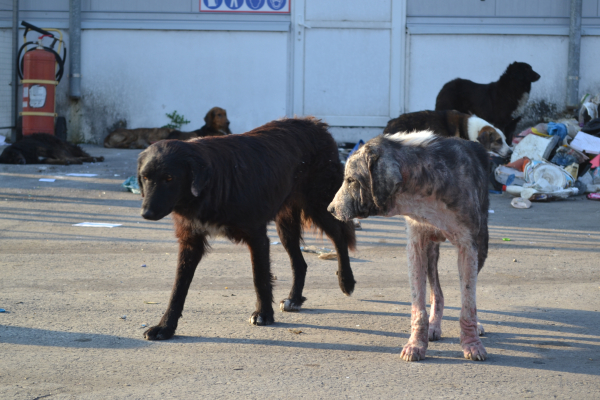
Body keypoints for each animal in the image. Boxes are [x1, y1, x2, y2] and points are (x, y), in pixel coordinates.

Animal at [136, 115, 356, 340]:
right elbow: (178, 288)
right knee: (300, 263)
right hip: (286, 226)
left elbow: (260, 278)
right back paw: (294, 299)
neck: (212, 185)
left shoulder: (257, 237)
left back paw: (346, 281)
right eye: (145, 177)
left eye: (169, 178)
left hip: (319, 205)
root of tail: (315, 122)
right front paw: (165, 326)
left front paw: (263, 314)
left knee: (340, 236)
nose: (146, 213)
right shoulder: (191, 242)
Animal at [328, 131, 492, 362]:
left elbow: (468, 302)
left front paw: (472, 344)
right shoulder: (416, 246)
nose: (330, 209)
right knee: (437, 293)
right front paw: (416, 345)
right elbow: (418, 306)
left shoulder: (468, 247)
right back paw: (433, 326)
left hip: (481, 247)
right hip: (431, 252)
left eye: (351, 180)